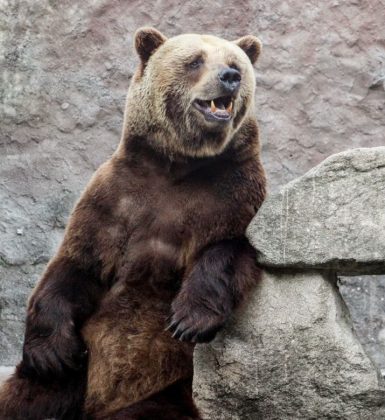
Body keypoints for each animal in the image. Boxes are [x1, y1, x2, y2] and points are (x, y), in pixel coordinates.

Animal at [0, 27, 266, 418]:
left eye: (235, 63)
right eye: (195, 60)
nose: (229, 77)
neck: (179, 166)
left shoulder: (233, 191)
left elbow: (230, 248)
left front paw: (189, 319)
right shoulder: (115, 198)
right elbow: (77, 262)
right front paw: (51, 352)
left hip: (169, 391)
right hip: (76, 377)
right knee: (28, 394)